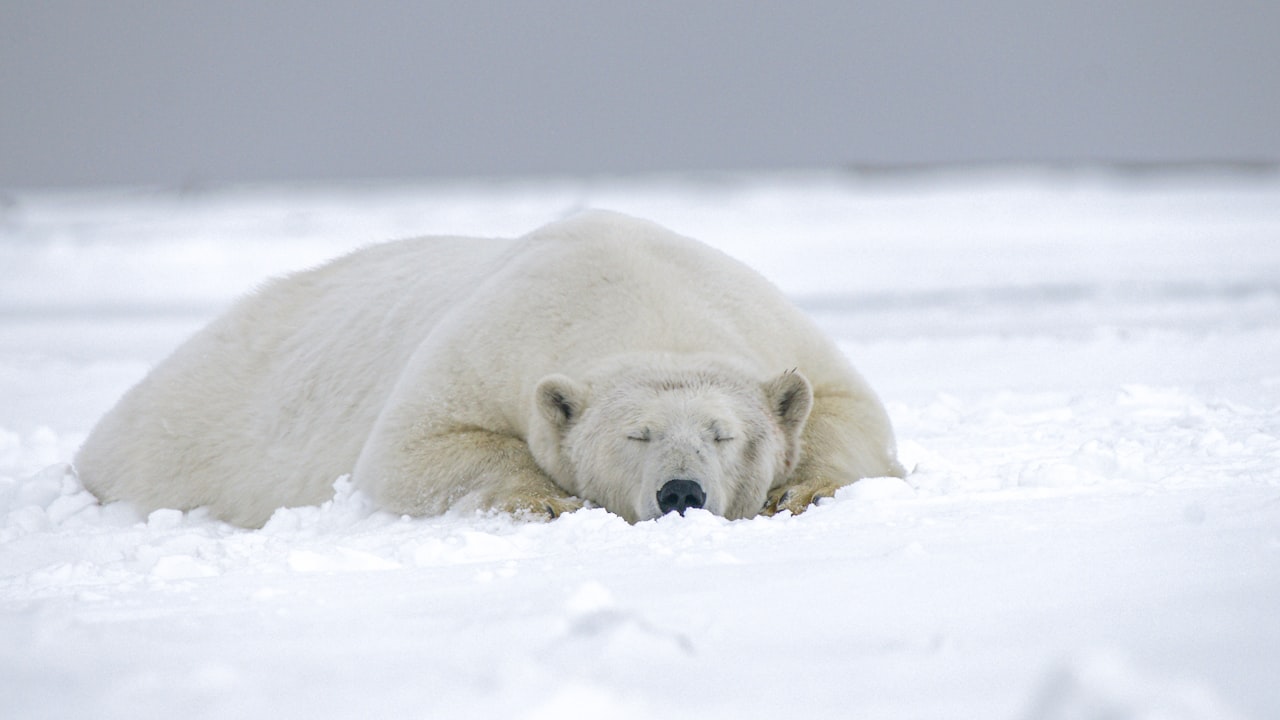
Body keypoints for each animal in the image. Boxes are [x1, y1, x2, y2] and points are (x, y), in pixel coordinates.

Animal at [74, 210, 906, 525]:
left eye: (722, 433)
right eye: (635, 436)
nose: (681, 492)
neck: (640, 297)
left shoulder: (766, 321)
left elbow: (849, 411)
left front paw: (803, 490)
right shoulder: (493, 341)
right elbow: (415, 450)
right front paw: (546, 501)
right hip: (182, 431)